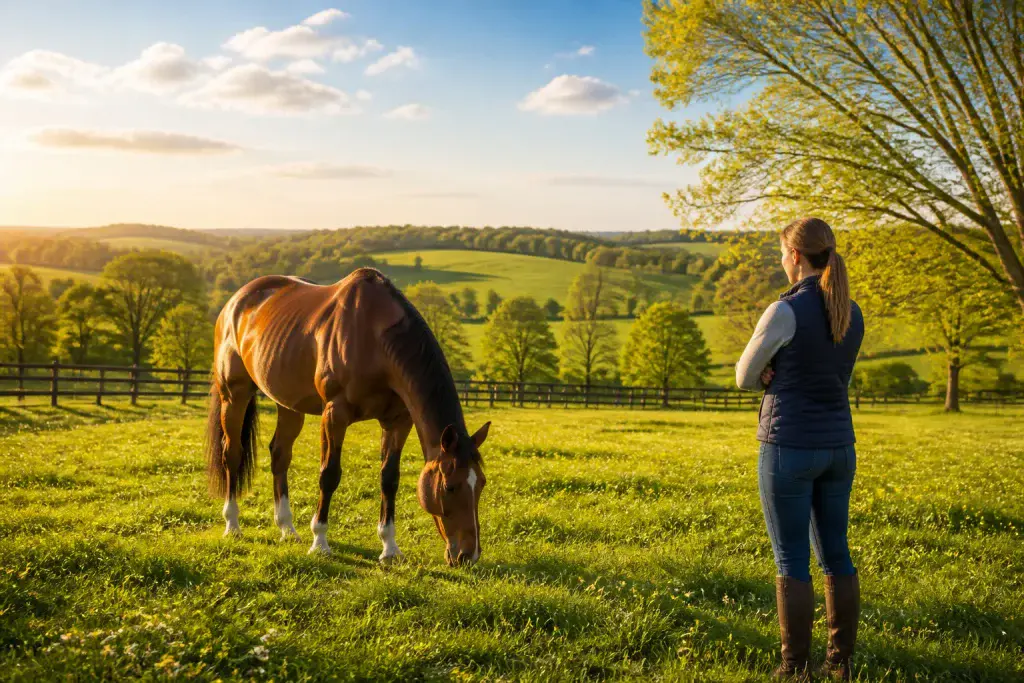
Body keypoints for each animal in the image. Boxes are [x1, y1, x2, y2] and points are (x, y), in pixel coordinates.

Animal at [205, 267, 491, 567]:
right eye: (449, 487)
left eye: (481, 484)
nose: (468, 555)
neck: (375, 340)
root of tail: (235, 302)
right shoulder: (334, 414)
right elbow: (329, 474)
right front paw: (320, 542)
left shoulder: (398, 421)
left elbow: (389, 479)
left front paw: (389, 548)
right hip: (234, 395)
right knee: (232, 454)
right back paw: (232, 525)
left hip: (289, 404)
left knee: (280, 455)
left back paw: (287, 529)